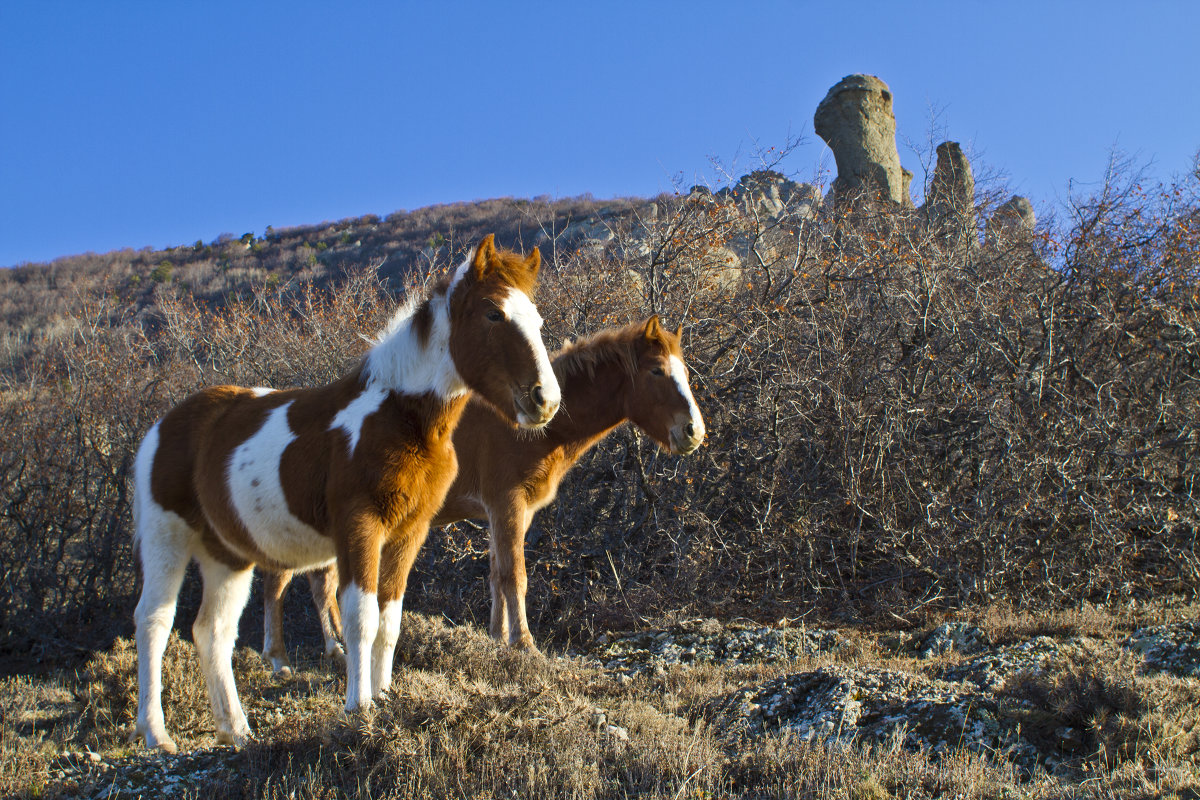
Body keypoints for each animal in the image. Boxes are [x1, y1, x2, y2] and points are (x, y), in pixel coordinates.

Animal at [131, 232, 561, 753]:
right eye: (494, 314)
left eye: (537, 319)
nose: (545, 401)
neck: (399, 415)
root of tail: (161, 426)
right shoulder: (360, 527)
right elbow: (360, 617)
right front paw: (359, 707)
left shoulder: (409, 532)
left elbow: (390, 620)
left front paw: (385, 696)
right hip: (166, 539)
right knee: (154, 622)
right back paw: (156, 734)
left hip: (227, 554)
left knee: (212, 631)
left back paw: (237, 730)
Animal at [265, 316, 700, 666]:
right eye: (657, 371)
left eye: (685, 372)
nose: (694, 432)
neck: (537, 429)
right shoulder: (506, 503)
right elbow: (514, 574)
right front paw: (524, 644)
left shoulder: (512, 512)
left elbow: (496, 573)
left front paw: (497, 637)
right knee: (282, 583)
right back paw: (285, 660)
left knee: (320, 584)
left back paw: (335, 648)